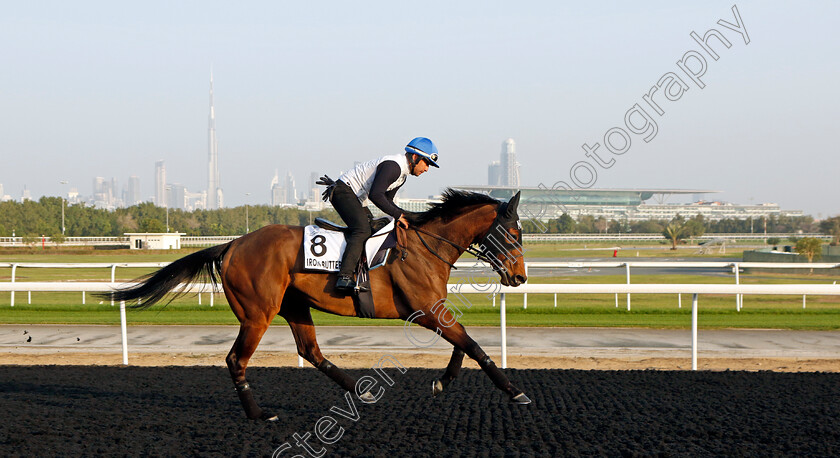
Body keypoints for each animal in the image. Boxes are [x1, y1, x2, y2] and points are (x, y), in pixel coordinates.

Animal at [108, 189, 528, 418]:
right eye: (513, 233)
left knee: (310, 350)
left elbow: (463, 344)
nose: (520, 277)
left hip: (294, 305)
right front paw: (515, 392)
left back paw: (362, 391)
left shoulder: (433, 309)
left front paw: (443, 381)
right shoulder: (425, 310)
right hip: (257, 313)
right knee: (236, 359)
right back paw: (259, 415)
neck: (427, 246)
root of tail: (232, 245)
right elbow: (472, 345)